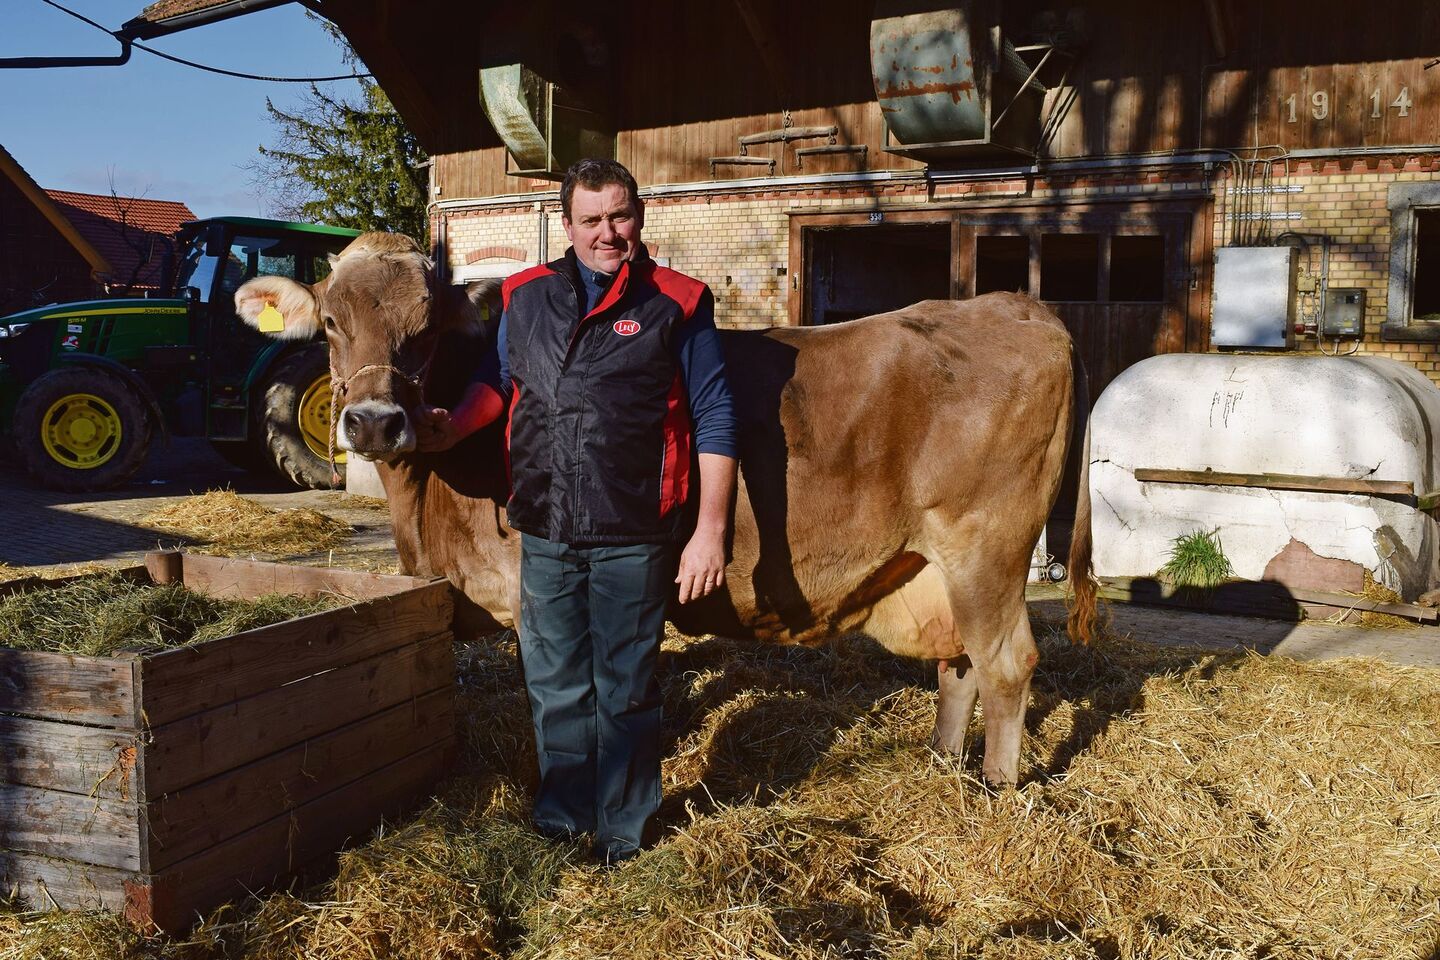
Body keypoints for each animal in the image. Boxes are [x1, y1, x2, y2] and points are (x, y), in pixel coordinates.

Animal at [235, 232, 1097, 786]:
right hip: (932, 563)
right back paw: (944, 762)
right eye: (333, 322)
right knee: (959, 662)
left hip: (987, 547)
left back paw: (996, 788)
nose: (373, 422)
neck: (428, 513)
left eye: (425, 330)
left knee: (1006, 662)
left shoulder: (532, 590)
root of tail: (1018, 306)